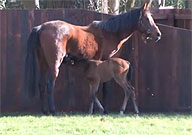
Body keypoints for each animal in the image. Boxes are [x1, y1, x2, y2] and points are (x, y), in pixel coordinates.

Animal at [24, 1, 162, 115]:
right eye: (147, 18)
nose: (158, 34)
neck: (110, 32)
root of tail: (41, 27)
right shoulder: (106, 59)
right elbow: (105, 88)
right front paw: (104, 109)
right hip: (54, 63)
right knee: (50, 85)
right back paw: (53, 111)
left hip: (43, 63)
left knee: (41, 84)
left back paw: (45, 111)